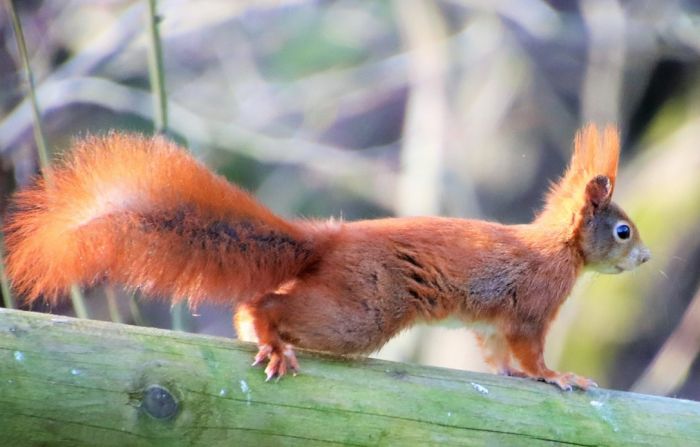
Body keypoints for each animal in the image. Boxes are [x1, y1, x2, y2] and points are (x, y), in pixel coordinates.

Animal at [3, 124, 650, 389]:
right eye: (622, 231)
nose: (644, 260)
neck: (559, 250)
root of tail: (329, 240)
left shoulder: (493, 322)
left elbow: (496, 354)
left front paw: (517, 376)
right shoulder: (532, 307)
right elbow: (530, 350)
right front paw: (558, 377)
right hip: (361, 312)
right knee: (268, 303)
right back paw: (269, 337)